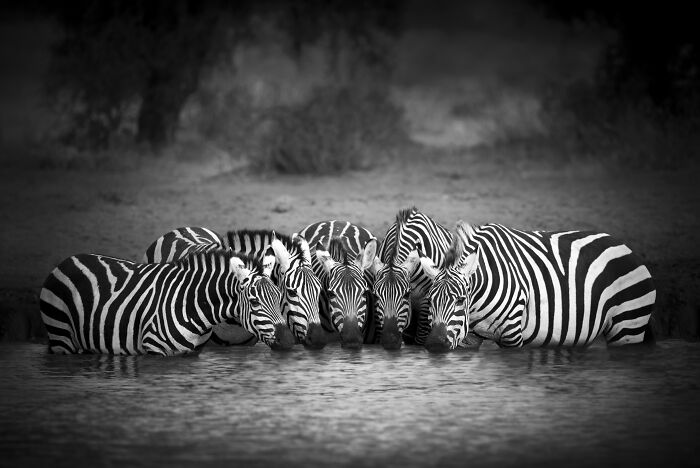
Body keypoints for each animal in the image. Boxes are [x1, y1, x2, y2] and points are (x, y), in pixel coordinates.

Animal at [39, 249, 293, 355]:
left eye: (279, 297)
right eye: (254, 302)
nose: (288, 340)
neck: (191, 305)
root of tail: (66, 260)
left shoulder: (190, 354)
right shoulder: (155, 350)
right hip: (61, 336)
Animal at [419, 221, 656, 352]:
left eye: (460, 300)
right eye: (430, 301)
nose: (435, 344)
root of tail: (624, 246)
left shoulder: (512, 335)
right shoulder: (469, 338)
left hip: (628, 325)